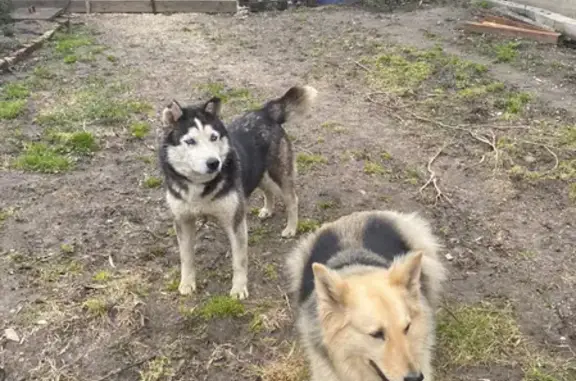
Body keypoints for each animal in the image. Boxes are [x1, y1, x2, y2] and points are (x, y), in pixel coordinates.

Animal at [160, 84, 318, 298]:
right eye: (190, 141)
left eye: (213, 137)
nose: (214, 163)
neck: (200, 186)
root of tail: (264, 112)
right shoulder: (183, 221)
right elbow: (186, 257)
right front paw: (187, 283)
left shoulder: (235, 221)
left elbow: (239, 260)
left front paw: (239, 288)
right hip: (256, 174)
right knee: (268, 190)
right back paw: (268, 209)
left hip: (279, 172)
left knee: (292, 199)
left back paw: (291, 227)